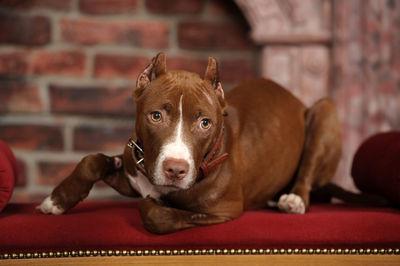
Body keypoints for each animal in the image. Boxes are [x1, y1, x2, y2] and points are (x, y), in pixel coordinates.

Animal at [37, 53, 342, 234]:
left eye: (205, 123)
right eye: (156, 116)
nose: (175, 169)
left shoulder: (223, 210)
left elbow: (159, 214)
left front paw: (157, 204)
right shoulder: (134, 170)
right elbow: (91, 161)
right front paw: (57, 201)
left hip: (325, 112)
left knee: (307, 171)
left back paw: (293, 199)